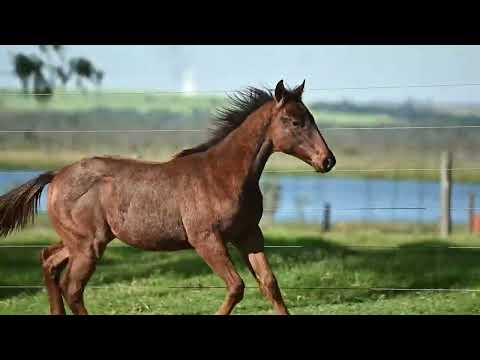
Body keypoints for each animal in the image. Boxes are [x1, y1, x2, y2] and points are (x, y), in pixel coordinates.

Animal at [0, 79, 336, 316]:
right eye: (295, 122)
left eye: (311, 117)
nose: (328, 161)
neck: (223, 176)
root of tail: (56, 175)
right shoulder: (206, 239)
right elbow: (236, 286)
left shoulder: (249, 235)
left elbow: (269, 284)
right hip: (88, 245)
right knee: (72, 288)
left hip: (78, 242)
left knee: (49, 261)